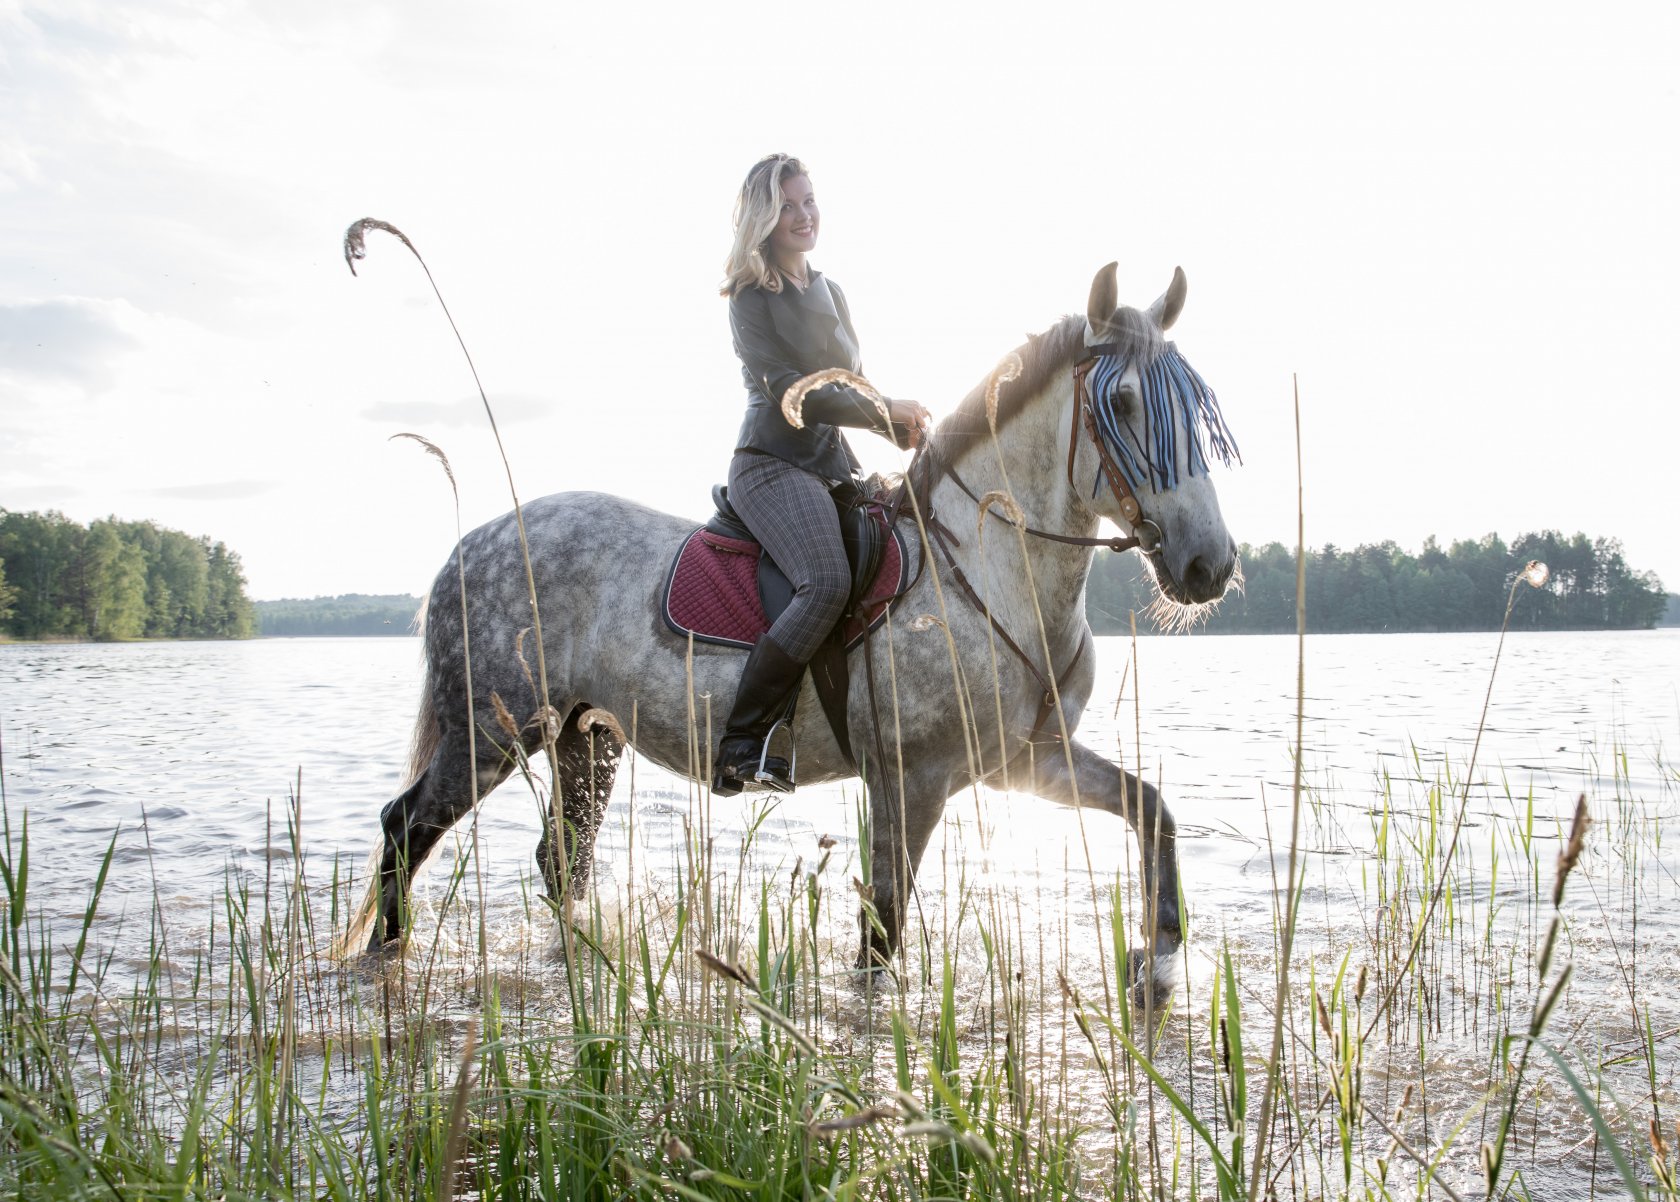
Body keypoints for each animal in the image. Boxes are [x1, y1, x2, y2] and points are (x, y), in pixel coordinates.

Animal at [347, 263, 1243, 1008]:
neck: (992, 570)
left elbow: (1153, 809)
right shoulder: (910, 781)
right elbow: (882, 934)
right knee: (405, 828)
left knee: (560, 858)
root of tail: (471, 544)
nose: (1210, 565)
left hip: (584, 739)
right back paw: (383, 959)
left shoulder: (1027, 759)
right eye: (1121, 404)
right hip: (490, 731)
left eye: (1197, 405)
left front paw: (1160, 958)